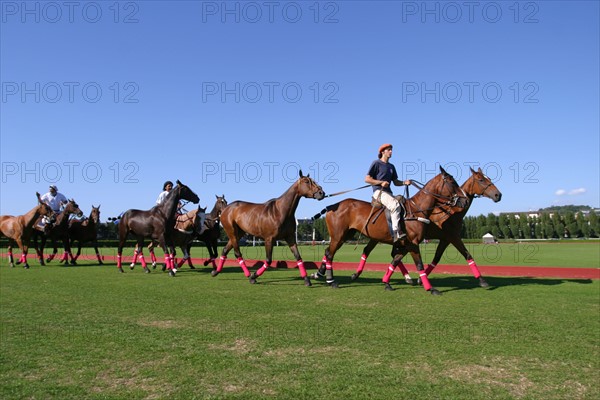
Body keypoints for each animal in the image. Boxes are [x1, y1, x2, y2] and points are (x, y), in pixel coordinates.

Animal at [312, 167, 466, 296]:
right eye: (452, 182)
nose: (464, 201)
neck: (416, 209)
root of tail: (331, 206)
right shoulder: (413, 244)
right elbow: (419, 265)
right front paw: (431, 289)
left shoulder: (406, 244)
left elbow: (395, 260)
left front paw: (387, 282)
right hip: (338, 236)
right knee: (330, 253)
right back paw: (330, 281)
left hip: (346, 235)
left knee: (329, 251)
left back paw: (321, 274)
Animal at [350, 166, 504, 288]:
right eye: (481, 180)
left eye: (488, 178)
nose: (498, 195)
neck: (453, 212)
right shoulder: (451, 236)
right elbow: (466, 254)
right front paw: (482, 280)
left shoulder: (445, 239)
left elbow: (436, 258)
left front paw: (420, 278)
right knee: (377, 252)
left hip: (379, 237)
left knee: (379, 252)